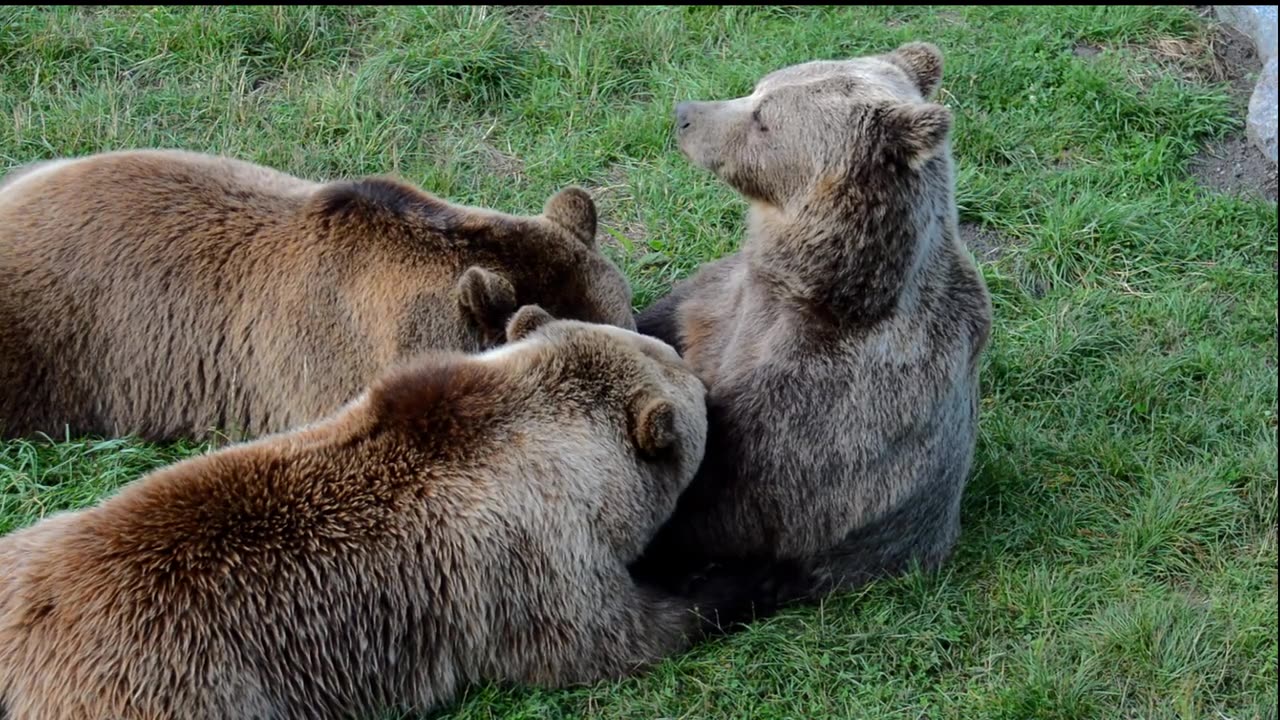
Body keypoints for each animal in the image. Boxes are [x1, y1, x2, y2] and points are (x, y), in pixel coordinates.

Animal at [0, 307, 808, 717]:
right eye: (697, 394)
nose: (697, 371)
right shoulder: (527, 563)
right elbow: (613, 638)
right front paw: (744, 577)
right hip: (176, 690)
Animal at [634, 43, 993, 594]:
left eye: (763, 119)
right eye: (757, 88)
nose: (685, 115)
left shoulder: (828, 395)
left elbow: (726, 492)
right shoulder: (724, 298)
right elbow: (666, 320)